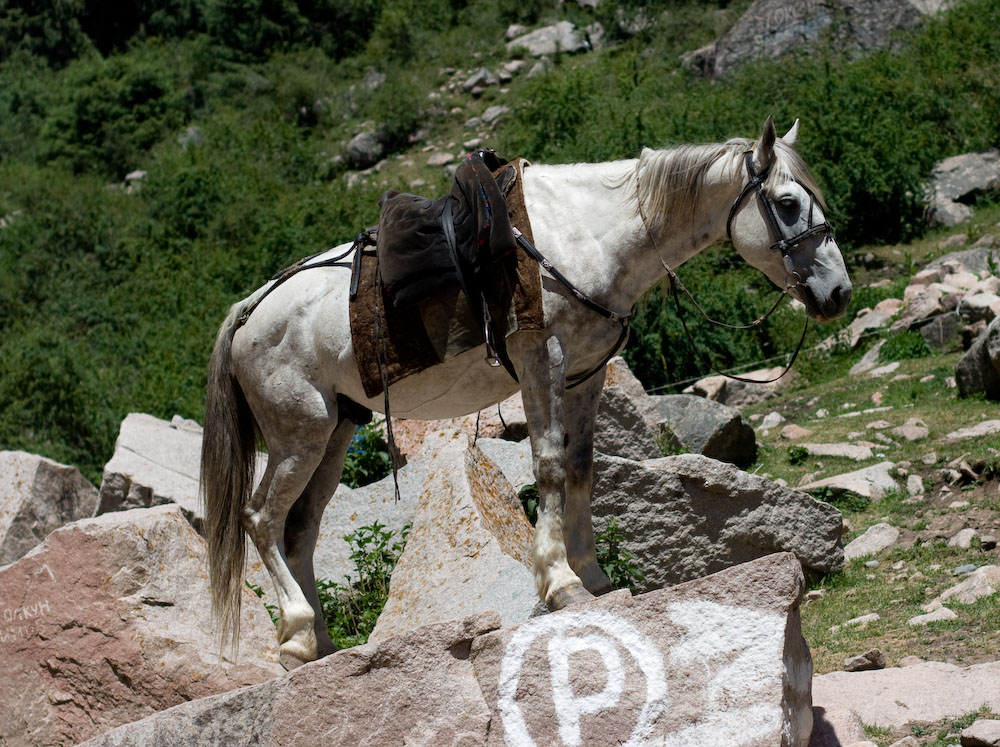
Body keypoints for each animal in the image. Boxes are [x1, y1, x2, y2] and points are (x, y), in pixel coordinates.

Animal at [201, 118, 852, 672]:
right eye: (788, 204)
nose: (839, 293)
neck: (588, 235)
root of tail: (249, 309)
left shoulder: (586, 375)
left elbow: (583, 469)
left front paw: (596, 580)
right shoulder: (545, 363)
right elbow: (550, 466)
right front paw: (561, 584)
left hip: (335, 433)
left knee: (300, 529)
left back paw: (320, 647)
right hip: (299, 435)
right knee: (261, 518)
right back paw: (296, 635)